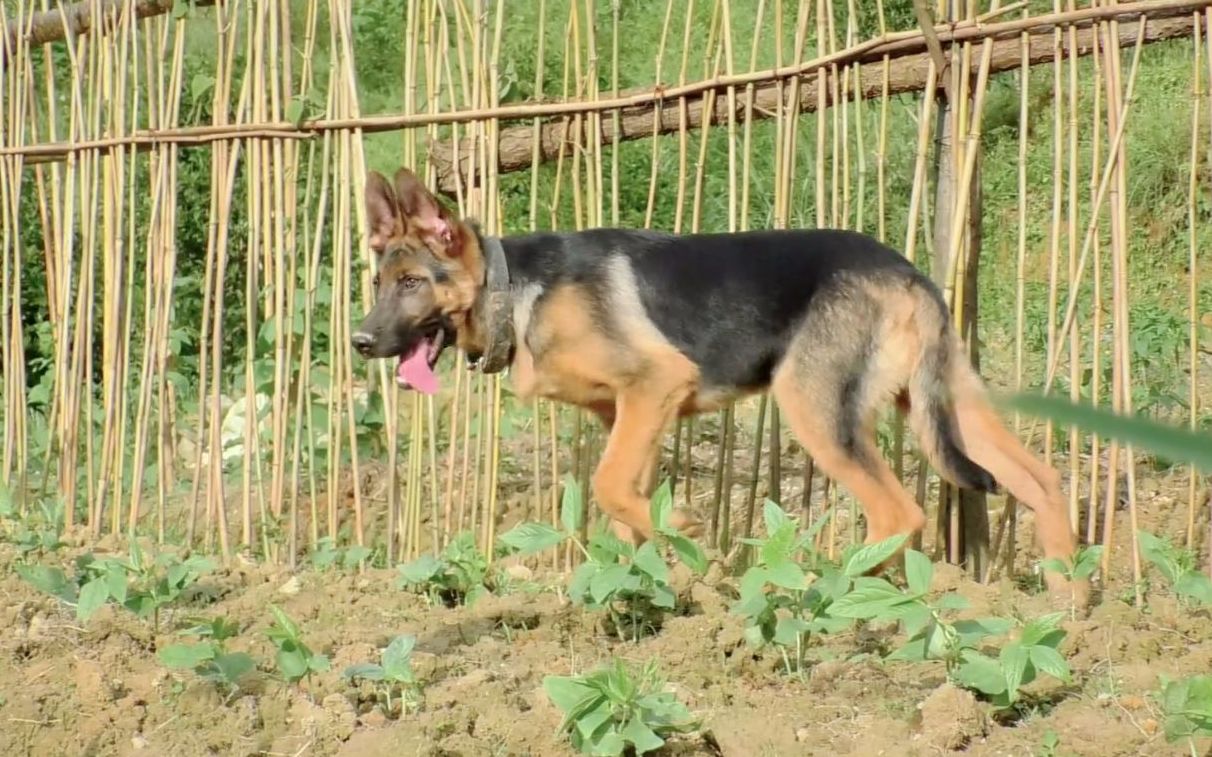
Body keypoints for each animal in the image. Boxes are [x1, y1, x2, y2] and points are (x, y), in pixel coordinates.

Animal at [351, 167, 1090, 608]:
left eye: (413, 283)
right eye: (378, 283)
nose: (359, 341)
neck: (517, 290)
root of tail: (907, 273)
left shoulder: (656, 384)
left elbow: (611, 486)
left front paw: (685, 535)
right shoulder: (630, 412)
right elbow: (625, 503)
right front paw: (644, 584)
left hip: (813, 406)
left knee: (898, 514)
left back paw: (828, 588)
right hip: (949, 405)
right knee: (1039, 477)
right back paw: (1067, 598)